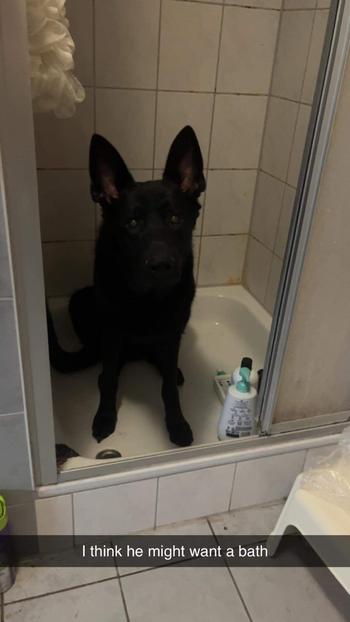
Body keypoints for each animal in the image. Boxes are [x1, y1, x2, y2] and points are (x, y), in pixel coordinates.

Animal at [46, 127, 205, 448]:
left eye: (175, 218)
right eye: (132, 223)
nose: (161, 265)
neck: (148, 298)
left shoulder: (173, 333)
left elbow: (168, 388)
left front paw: (177, 423)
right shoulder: (112, 333)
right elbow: (109, 380)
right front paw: (105, 417)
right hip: (80, 301)